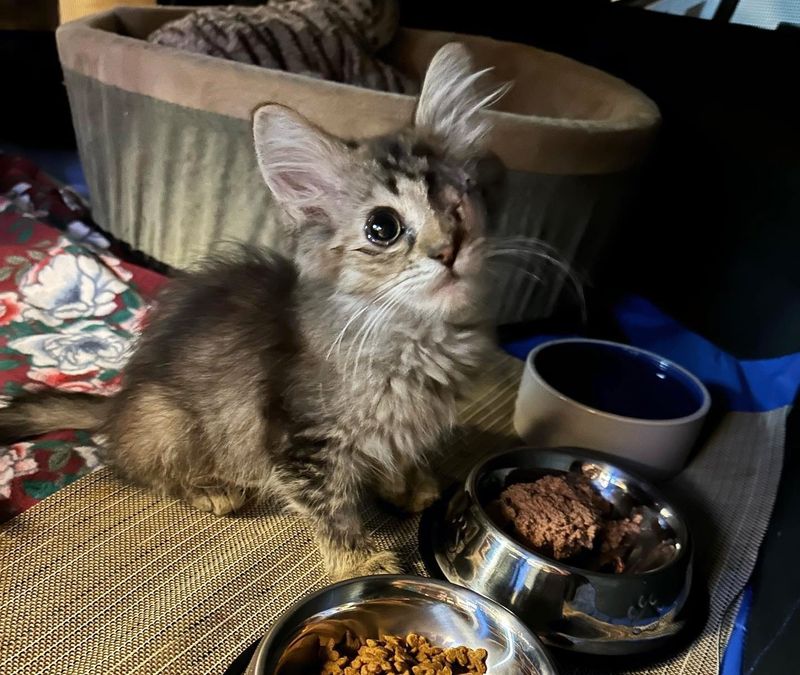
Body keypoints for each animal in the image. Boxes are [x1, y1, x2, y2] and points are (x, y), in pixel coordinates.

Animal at [0, 43, 506, 580]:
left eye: (462, 198)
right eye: (382, 227)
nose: (449, 250)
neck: (417, 336)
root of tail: (118, 401)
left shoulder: (401, 425)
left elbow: (396, 452)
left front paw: (407, 485)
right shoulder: (298, 442)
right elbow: (331, 505)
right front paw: (359, 562)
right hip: (168, 422)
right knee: (134, 465)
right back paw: (209, 489)